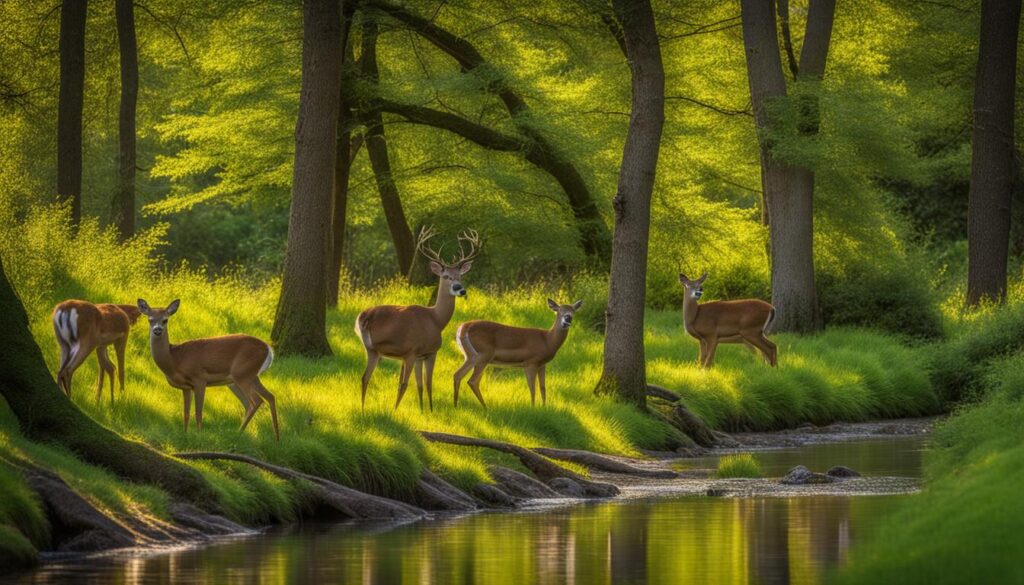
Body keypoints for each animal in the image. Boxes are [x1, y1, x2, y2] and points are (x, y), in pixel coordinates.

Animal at [136, 299, 282, 442]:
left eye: (165, 320)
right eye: (150, 319)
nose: (157, 330)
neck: (174, 359)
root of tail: (269, 349)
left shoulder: (199, 379)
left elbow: (198, 412)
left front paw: (198, 435)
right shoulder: (186, 387)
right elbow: (186, 413)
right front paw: (185, 434)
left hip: (243, 373)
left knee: (256, 401)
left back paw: (242, 433)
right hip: (243, 378)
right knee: (266, 398)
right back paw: (273, 437)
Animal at [354, 225, 481, 411]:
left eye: (460, 276)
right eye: (446, 276)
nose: (460, 289)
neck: (437, 319)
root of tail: (365, 317)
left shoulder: (420, 355)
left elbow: (420, 385)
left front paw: (422, 410)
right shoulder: (430, 351)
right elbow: (428, 384)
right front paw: (431, 410)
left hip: (374, 350)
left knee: (365, 377)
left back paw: (364, 409)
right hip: (403, 350)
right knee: (402, 383)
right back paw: (393, 410)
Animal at [452, 297, 581, 407]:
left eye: (573, 311)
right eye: (559, 310)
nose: (568, 318)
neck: (547, 340)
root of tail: (463, 327)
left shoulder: (542, 364)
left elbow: (543, 387)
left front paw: (544, 408)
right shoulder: (530, 362)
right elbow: (532, 388)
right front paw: (533, 408)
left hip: (470, 356)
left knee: (458, 375)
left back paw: (456, 405)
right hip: (483, 355)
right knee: (472, 381)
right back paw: (485, 407)